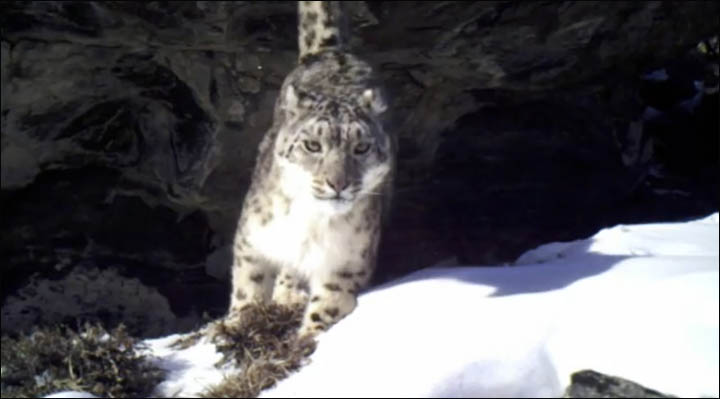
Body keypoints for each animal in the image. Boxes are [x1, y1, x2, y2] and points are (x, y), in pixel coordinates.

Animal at [226, 0, 394, 338]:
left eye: (361, 147)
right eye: (312, 145)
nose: (337, 183)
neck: (312, 223)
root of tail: (332, 51)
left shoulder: (346, 263)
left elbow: (327, 306)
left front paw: (307, 338)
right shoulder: (251, 240)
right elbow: (247, 286)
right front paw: (239, 324)